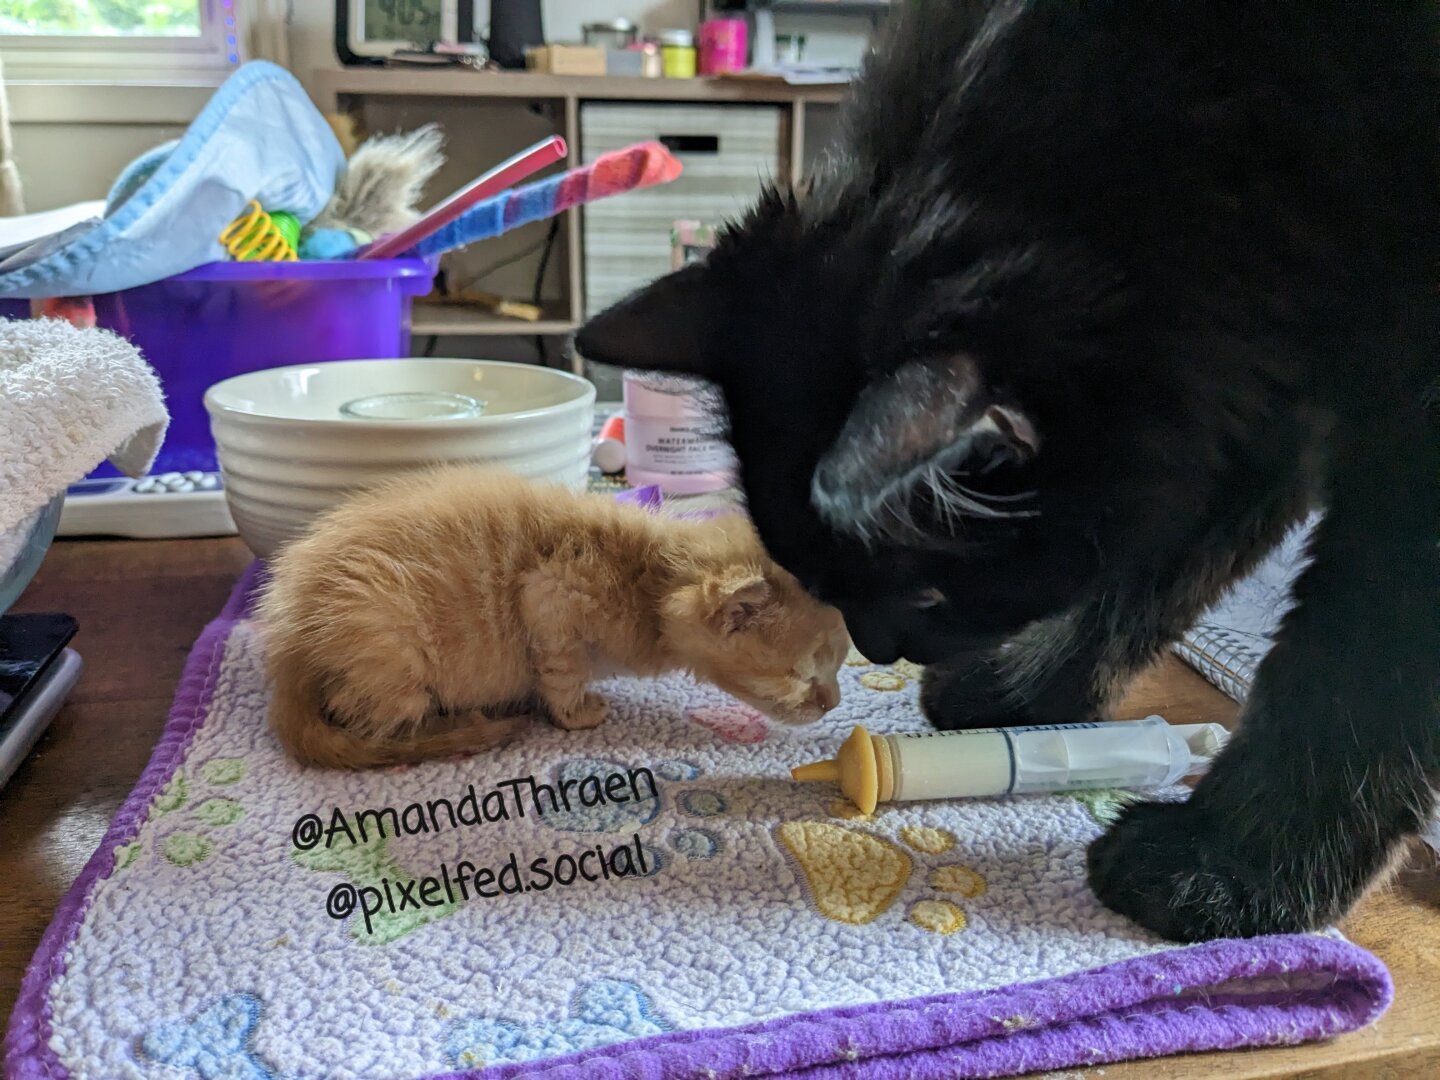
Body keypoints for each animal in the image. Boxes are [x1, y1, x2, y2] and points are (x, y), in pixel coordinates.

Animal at [259, 466, 846, 771]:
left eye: (840, 666)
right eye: (800, 674)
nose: (835, 704)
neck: (645, 580)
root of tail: (286, 646)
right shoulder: (548, 596)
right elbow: (562, 675)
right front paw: (579, 714)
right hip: (391, 653)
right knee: (373, 723)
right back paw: (469, 726)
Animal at [576, 2, 1440, 938]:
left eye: (926, 594)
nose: (877, 650)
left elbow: (1355, 664)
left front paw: (1233, 867)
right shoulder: (1249, 400)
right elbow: (1151, 571)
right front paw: (1024, 688)